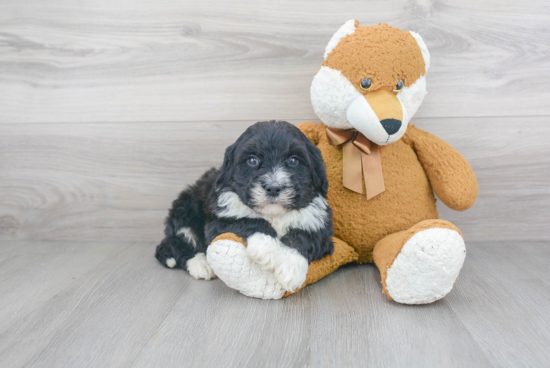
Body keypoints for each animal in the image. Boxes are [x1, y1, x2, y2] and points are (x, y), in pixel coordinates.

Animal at [156, 121, 336, 290]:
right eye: (252, 160)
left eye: (293, 160)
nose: (273, 187)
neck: (274, 214)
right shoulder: (220, 220)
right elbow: (247, 221)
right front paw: (266, 248)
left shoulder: (320, 225)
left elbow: (304, 236)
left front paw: (290, 269)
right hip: (185, 210)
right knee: (180, 242)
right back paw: (200, 264)